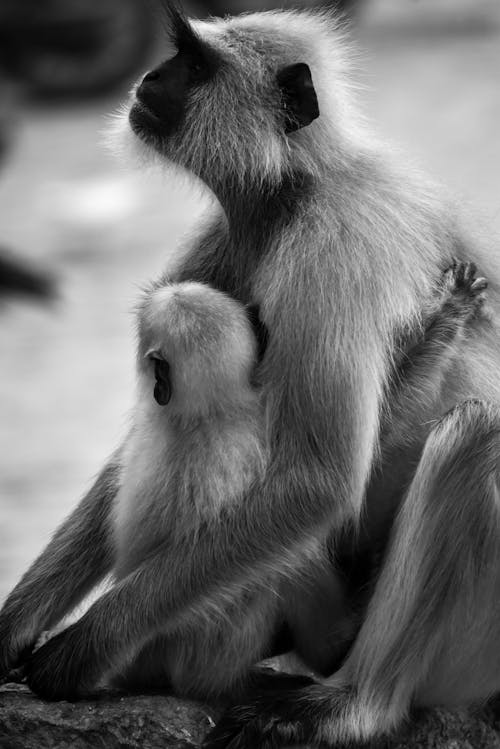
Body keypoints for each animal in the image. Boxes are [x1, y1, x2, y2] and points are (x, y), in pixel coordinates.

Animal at [0, 7, 498, 748]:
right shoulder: (224, 237)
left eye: (195, 64)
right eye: (177, 55)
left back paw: (355, 704)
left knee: (475, 429)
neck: (293, 189)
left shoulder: (331, 247)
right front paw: (13, 626)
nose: (149, 75)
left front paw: (85, 647)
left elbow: (321, 476)